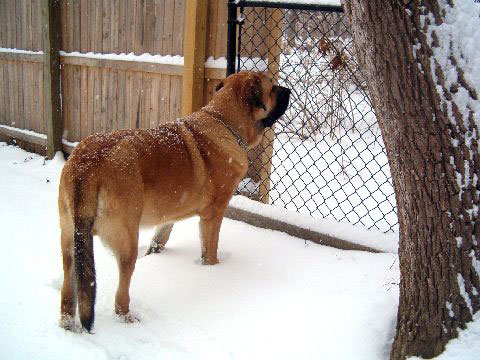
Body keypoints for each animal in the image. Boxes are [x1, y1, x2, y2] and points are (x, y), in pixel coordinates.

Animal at [56, 71, 288, 332]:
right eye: (272, 88)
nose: (289, 90)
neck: (224, 122)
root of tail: (87, 164)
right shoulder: (213, 214)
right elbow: (210, 250)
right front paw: (213, 271)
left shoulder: (170, 213)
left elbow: (161, 236)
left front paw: (156, 252)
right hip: (126, 243)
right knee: (121, 292)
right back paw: (127, 317)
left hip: (70, 240)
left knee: (68, 290)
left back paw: (68, 324)